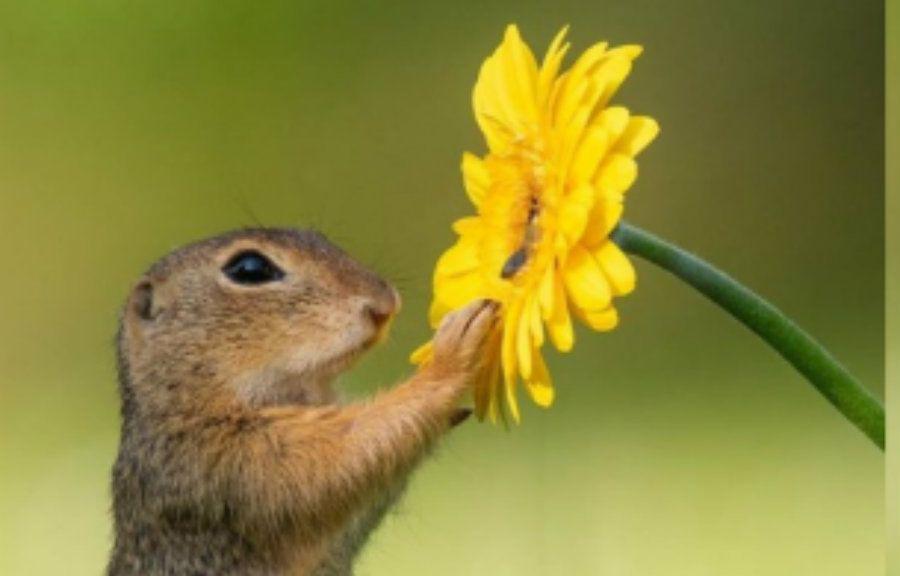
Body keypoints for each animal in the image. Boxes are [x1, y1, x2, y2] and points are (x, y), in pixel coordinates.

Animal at [107, 228, 497, 576]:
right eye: (249, 268)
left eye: (319, 235)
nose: (386, 304)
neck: (183, 400)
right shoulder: (224, 462)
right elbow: (344, 453)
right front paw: (450, 357)